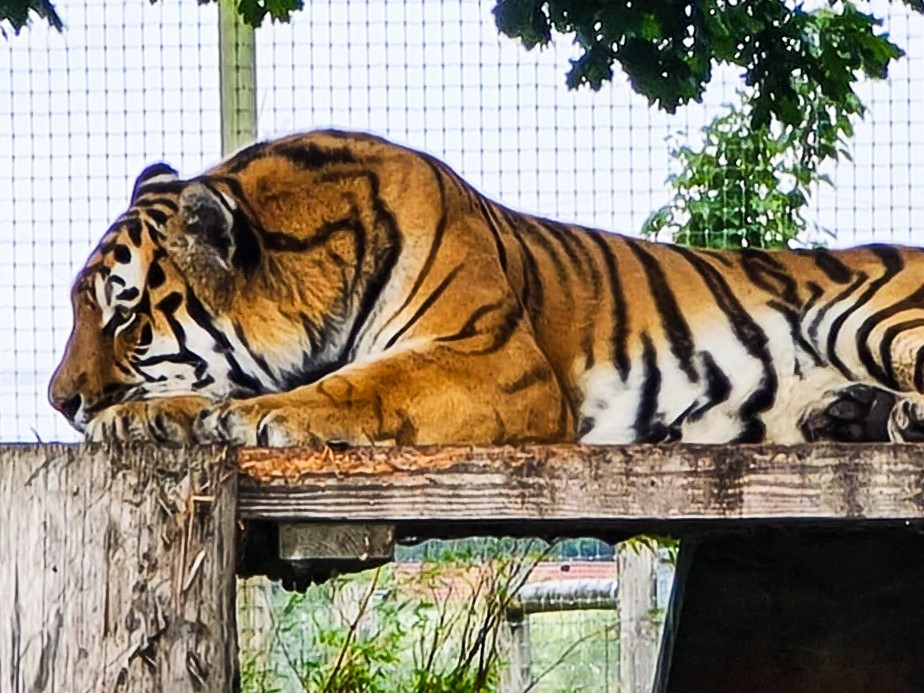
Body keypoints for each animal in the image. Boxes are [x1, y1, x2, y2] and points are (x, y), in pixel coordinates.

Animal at [48, 127, 924, 446]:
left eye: (124, 312)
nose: (60, 401)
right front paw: (145, 418)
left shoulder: (492, 359)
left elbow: (359, 384)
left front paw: (263, 416)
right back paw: (855, 413)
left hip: (867, 314)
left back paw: (896, 415)